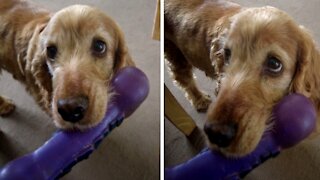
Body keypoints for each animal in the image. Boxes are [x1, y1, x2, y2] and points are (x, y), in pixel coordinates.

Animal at [165, 0, 320, 156]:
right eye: (227, 54)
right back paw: (200, 99)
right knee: (185, 80)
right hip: (175, 54)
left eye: (274, 64)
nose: (216, 134)